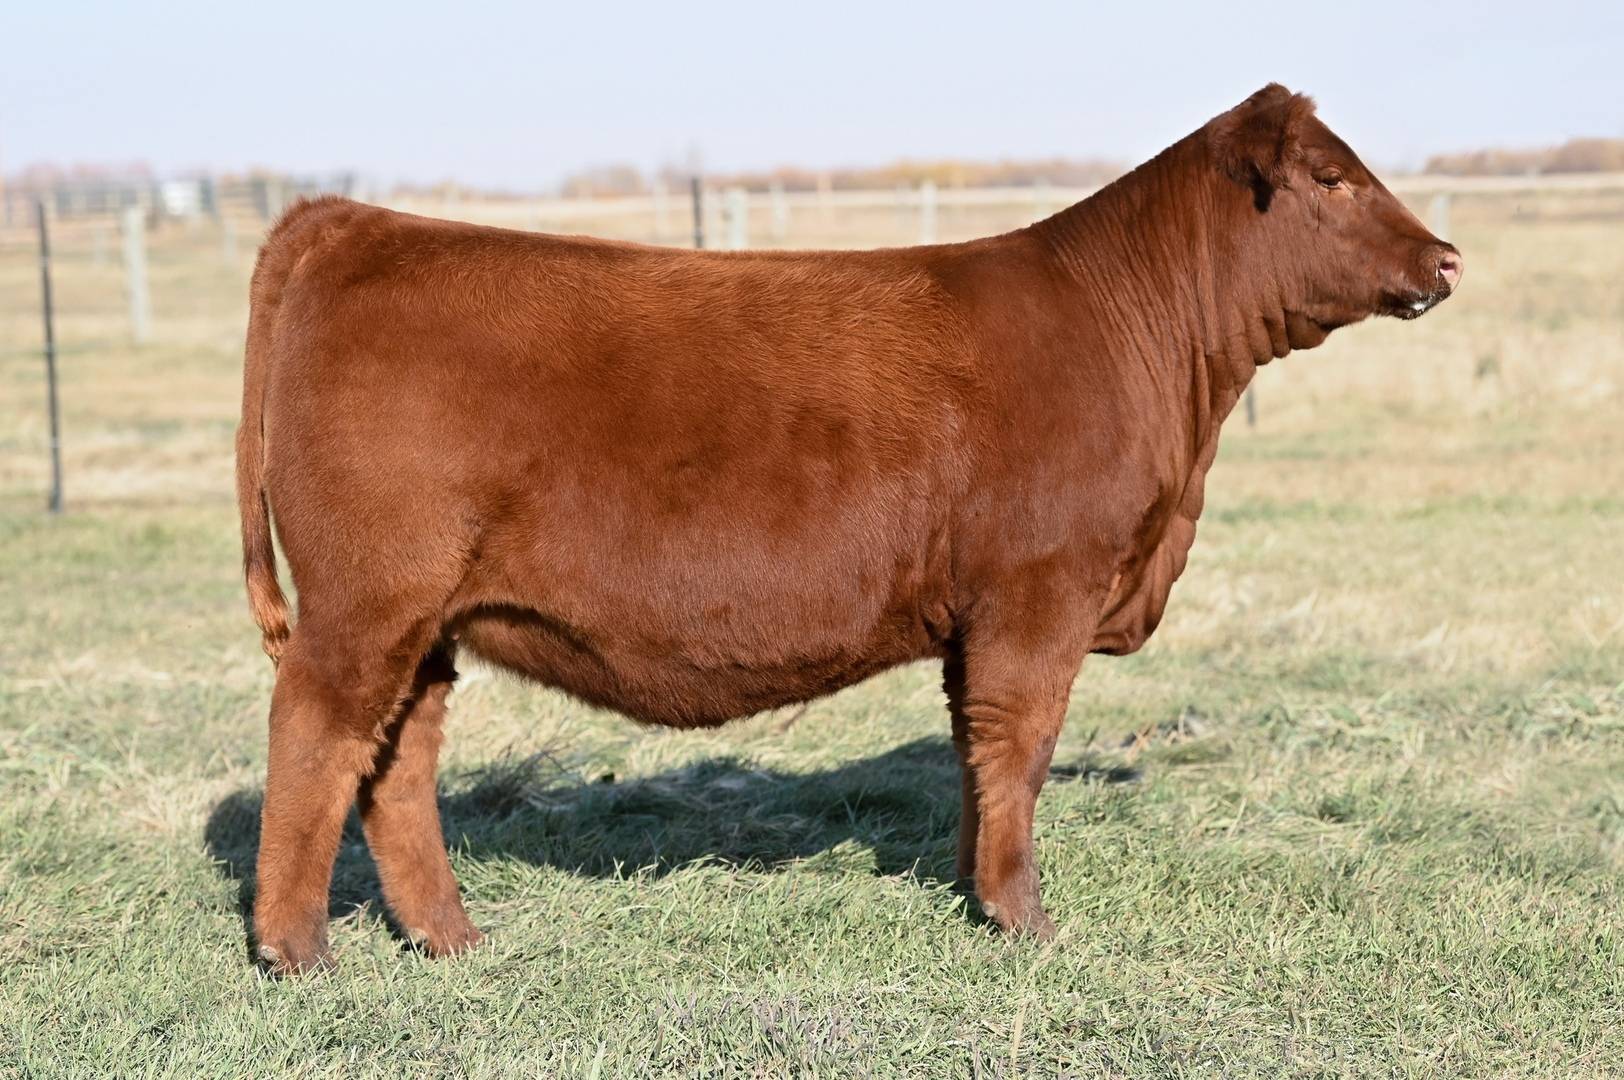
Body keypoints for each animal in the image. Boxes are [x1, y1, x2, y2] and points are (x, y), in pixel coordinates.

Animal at [236, 84, 1462, 973]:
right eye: (1330, 177)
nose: (1445, 259)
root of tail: (350, 222)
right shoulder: (1040, 592)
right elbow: (1021, 746)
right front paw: (1024, 920)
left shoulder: (984, 614)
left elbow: (976, 751)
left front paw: (972, 889)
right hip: (367, 601)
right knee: (317, 735)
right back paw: (296, 952)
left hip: (428, 620)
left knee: (396, 763)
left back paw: (449, 939)